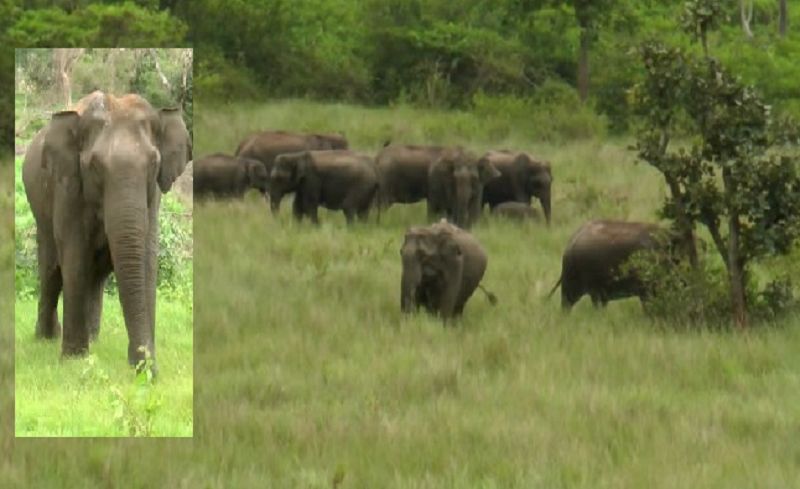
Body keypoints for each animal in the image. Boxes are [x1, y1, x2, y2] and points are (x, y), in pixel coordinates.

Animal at [22, 91, 192, 374]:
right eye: (94, 166)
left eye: (154, 163)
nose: (147, 371)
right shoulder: (68, 188)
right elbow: (74, 257)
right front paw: (74, 360)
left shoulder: (153, 196)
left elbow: (147, 259)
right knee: (51, 270)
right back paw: (47, 338)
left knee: (94, 274)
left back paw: (93, 338)